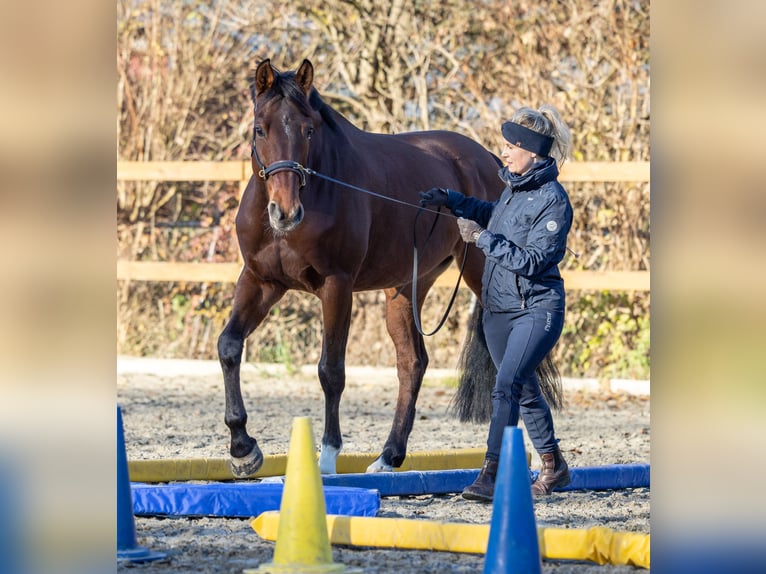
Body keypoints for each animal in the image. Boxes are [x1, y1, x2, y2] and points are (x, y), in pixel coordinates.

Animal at [219, 59, 560, 482]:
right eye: (259, 129)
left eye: (308, 130)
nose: (286, 212)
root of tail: (490, 161)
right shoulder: (260, 281)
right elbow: (229, 346)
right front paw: (242, 450)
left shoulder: (336, 286)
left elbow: (331, 370)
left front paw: (327, 458)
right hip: (406, 288)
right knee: (412, 363)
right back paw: (389, 456)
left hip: (483, 279)